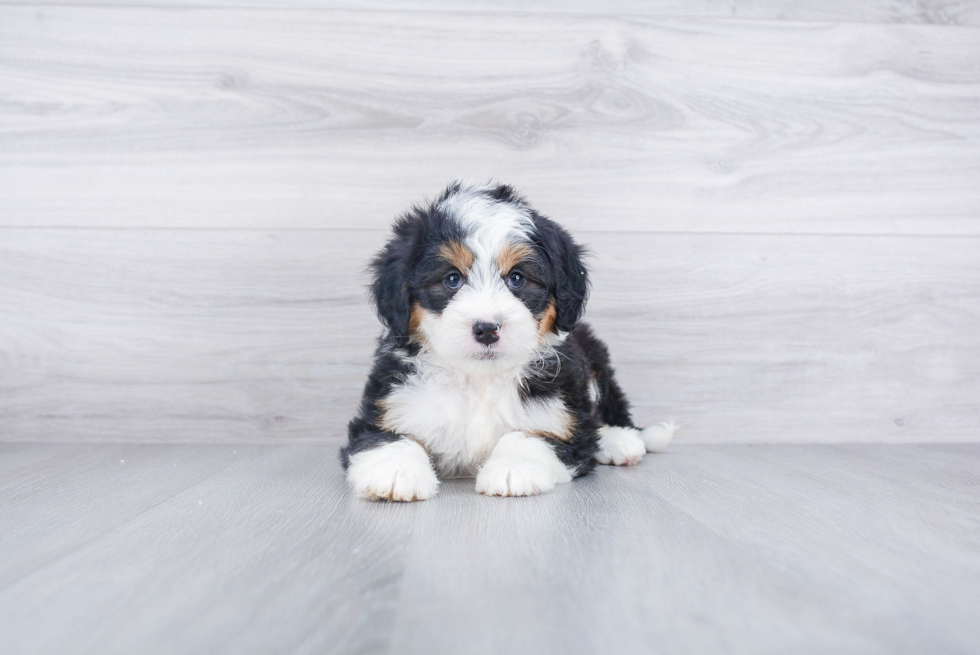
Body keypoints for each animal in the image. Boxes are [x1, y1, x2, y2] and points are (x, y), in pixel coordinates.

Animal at [338, 182, 672, 500]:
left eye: (517, 278)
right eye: (452, 279)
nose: (487, 329)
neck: (479, 381)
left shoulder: (565, 424)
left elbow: (530, 435)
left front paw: (513, 469)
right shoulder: (385, 407)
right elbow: (388, 437)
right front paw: (395, 472)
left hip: (593, 359)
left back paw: (621, 441)